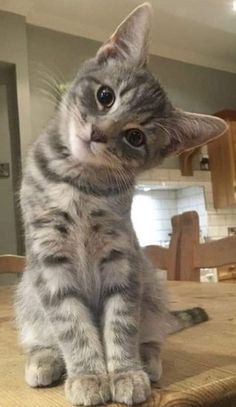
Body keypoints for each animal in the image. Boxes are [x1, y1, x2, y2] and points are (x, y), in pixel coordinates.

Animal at [15, 3, 227, 407]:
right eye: (105, 96)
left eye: (135, 137)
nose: (97, 133)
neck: (79, 184)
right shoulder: (50, 260)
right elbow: (71, 324)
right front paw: (88, 374)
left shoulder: (122, 257)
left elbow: (121, 321)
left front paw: (125, 371)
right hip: (27, 292)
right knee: (41, 335)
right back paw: (45, 359)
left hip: (152, 285)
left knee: (153, 332)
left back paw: (148, 360)